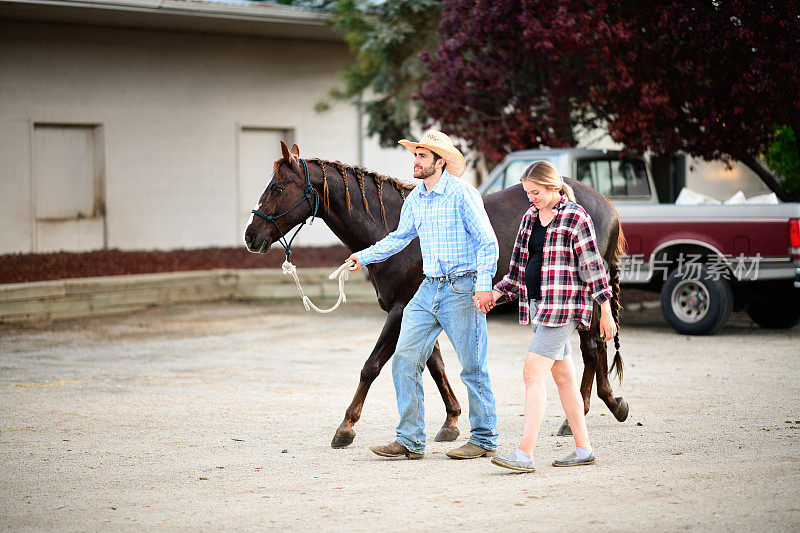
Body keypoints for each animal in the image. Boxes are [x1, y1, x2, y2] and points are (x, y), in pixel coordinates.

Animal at [245, 140, 632, 444]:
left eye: (278, 188)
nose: (251, 236)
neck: (396, 227)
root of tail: (605, 204)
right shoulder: (419, 309)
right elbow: (435, 365)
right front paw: (451, 420)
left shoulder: (400, 310)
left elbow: (372, 366)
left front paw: (346, 426)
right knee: (596, 347)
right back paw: (607, 405)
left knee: (592, 348)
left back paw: (583, 413)